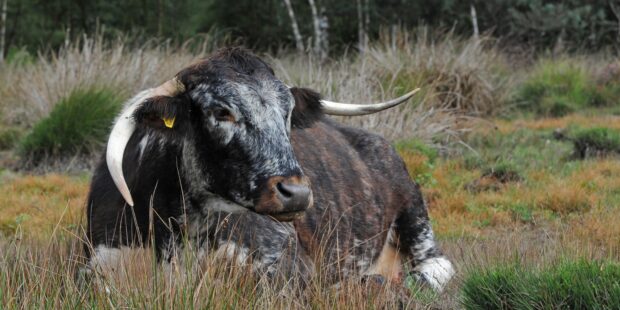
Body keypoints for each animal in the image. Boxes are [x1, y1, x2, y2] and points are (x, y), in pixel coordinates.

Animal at [83, 47, 456, 292]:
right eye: (221, 111)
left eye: (286, 111)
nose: (297, 193)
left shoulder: (287, 265)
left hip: (415, 217)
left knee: (435, 267)